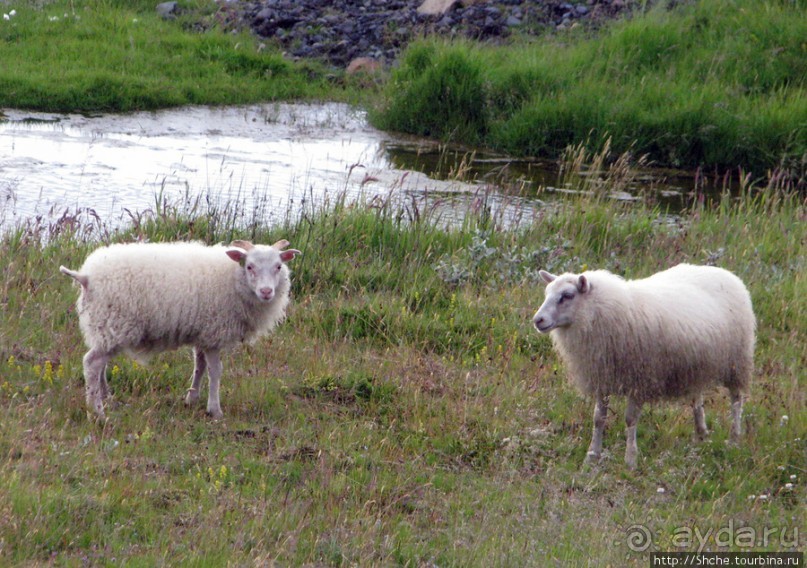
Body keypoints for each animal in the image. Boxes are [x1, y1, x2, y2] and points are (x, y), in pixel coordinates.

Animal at [59, 237, 300, 420]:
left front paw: (191, 398)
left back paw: (106, 397)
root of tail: (86, 276)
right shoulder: (214, 333)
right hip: (115, 323)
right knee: (92, 363)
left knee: (100, 364)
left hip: (105, 327)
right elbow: (215, 370)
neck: (233, 278)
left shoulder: (202, 332)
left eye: (278, 266)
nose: (266, 292)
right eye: (250, 267)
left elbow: (199, 366)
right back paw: (97, 411)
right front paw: (215, 409)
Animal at [532, 264, 756, 468]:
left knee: (736, 399)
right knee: (697, 397)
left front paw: (630, 459)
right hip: (695, 364)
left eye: (567, 295)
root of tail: (724, 272)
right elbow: (598, 418)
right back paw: (701, 433)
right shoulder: (602, 375)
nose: (537, 320)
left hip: (737, 360)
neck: (596, 313)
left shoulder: (639, 378)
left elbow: (630, 419)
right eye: (547, 293)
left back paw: (734, 438)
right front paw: (592, 455)